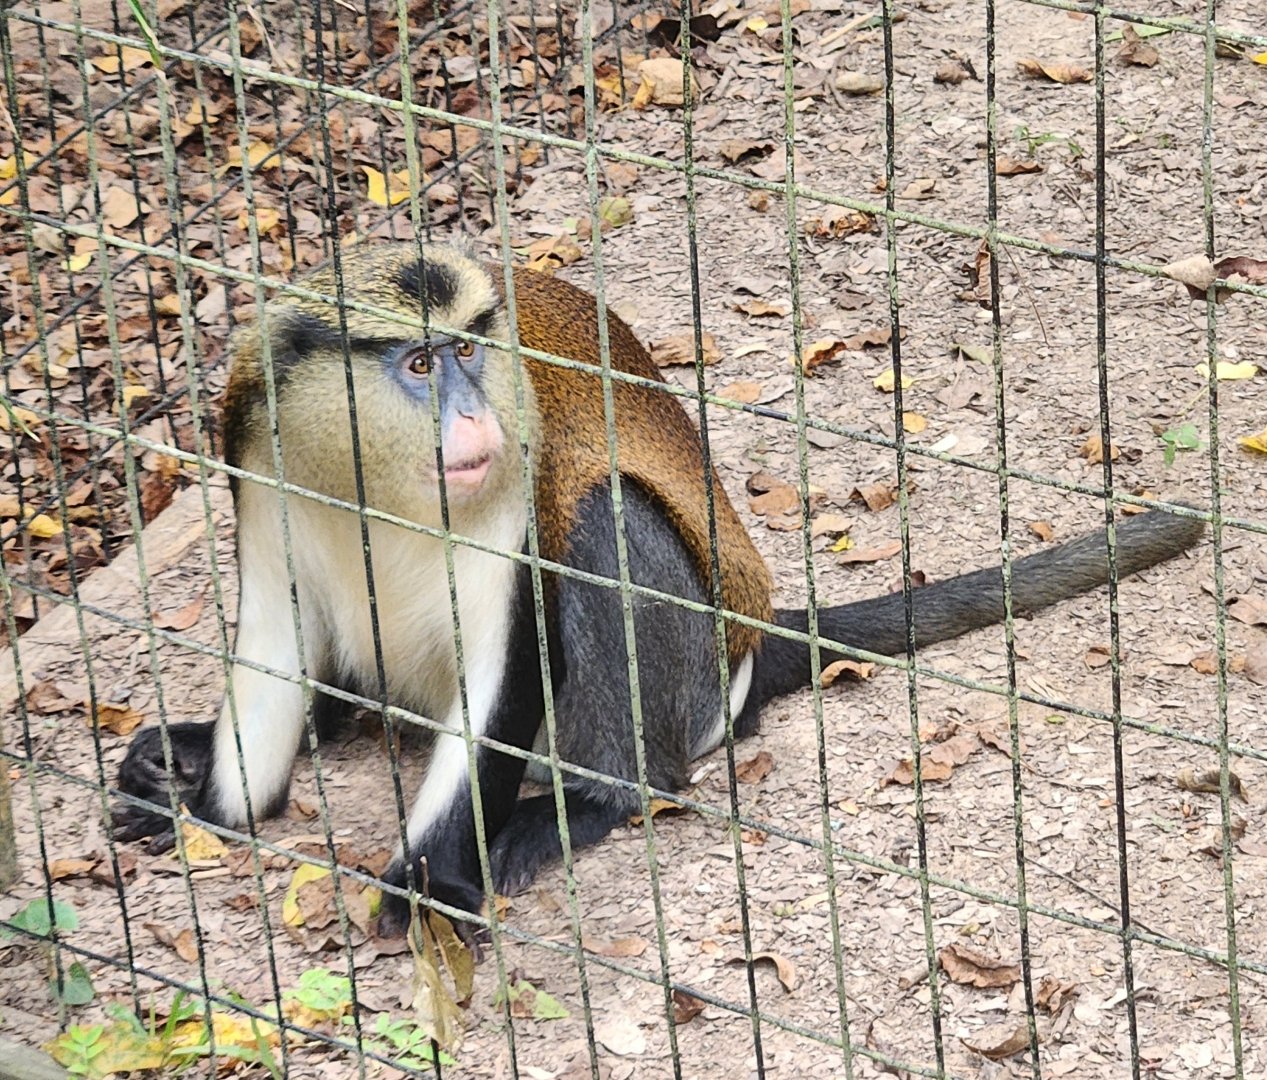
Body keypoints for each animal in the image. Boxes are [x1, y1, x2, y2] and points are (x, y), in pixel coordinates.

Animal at [112, 242, 1204, 937]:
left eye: (467, 352)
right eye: (418, 363)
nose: (471, 419)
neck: (365, 470)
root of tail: (754, 640)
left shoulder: (521, 474)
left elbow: (507, 666)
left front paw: (431, 881)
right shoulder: (254, 451)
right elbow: (269, 649)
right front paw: (207, 800)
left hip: (690, 682)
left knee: (607, 522)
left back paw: (597, 799)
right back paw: (188, 756)